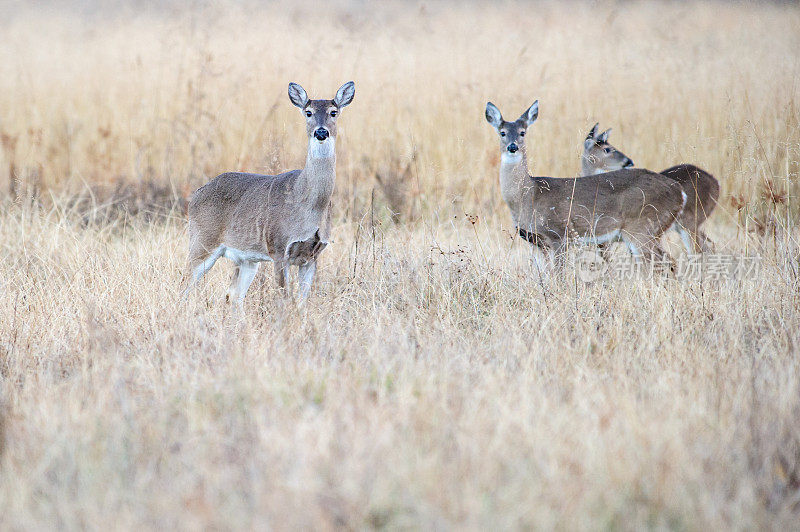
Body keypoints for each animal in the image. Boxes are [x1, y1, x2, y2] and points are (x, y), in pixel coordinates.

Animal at [184, 83, 356, 308]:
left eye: (333, 112)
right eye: (308, 112)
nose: (321, 132)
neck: (309, 205)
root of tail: (196, 194)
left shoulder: (313, 255)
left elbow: (301, 303)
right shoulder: (279, 248)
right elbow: (284, 299)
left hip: (247, 258)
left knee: (233, 294)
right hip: (202, 241)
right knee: (185, 284)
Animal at [484, 100, 684, 268]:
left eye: (522, 132)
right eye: (502, 132)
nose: (512, 147)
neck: (529, 195)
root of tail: (679, 192)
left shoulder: (559, 233)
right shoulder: (536, 242)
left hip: (642, 227)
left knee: (664, 263)